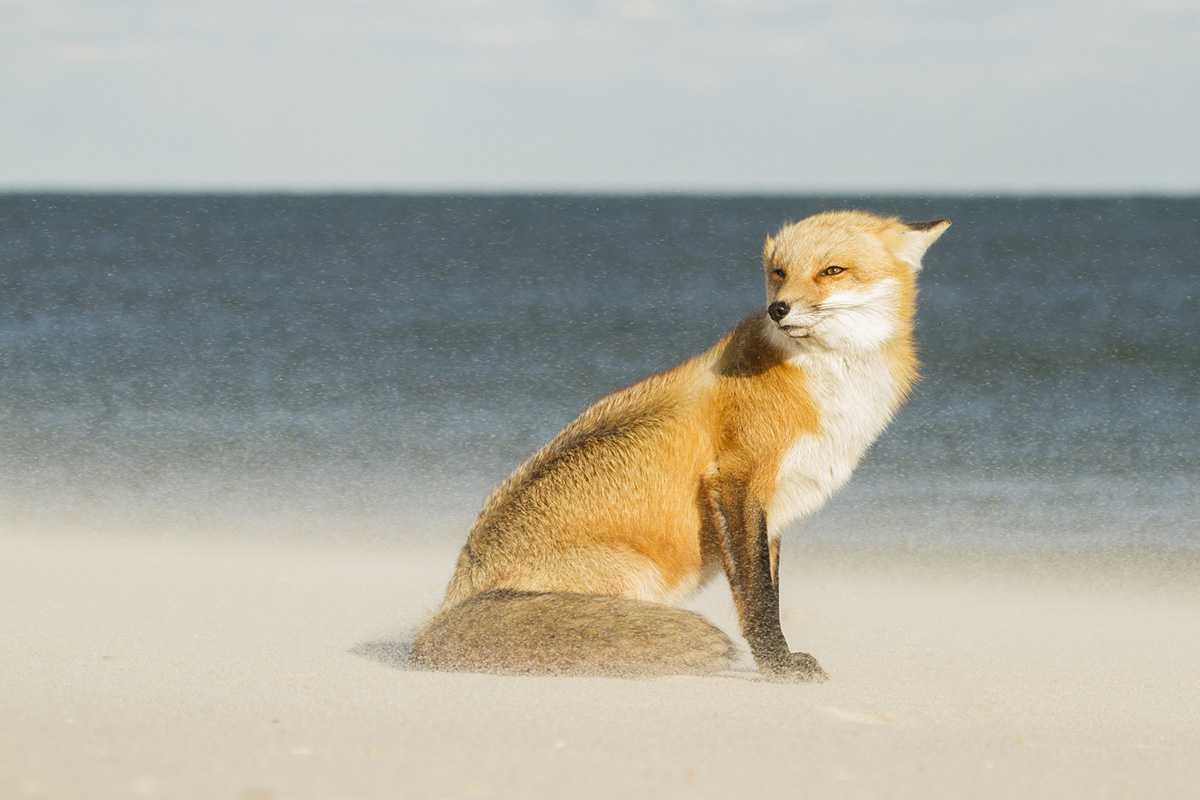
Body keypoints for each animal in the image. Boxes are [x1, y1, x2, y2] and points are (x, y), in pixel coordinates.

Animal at [408, 209, 950, 681]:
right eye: (779, 273)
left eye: (832, 271)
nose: (778, 309)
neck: (821, 382)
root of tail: (445, 609)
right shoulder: (737, 479)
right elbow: (757, 597)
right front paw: (777, 666)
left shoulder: (773, 503)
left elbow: (768, 587)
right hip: (638, 575)